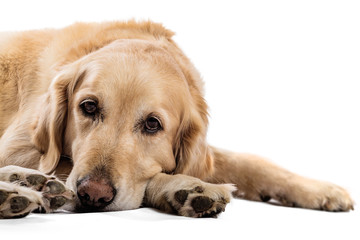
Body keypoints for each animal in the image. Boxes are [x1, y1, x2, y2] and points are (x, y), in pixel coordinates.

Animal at [0, 21, 354, 218]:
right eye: (88, 107)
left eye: (152, 124)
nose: (93, 195)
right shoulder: (19, 147)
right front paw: (186, 187)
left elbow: (250, 162)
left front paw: (321, 189)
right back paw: (22, 189)